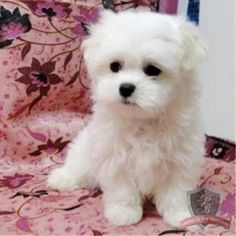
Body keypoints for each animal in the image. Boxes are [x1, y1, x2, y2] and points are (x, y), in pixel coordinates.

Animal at [47, 10, 206, 228]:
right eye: (115, 66)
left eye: (152, 70)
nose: (126, 88)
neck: (144, 120)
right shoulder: (114, 155)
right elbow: (121, 188)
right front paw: (123, 212)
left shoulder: (181, 157)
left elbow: (177, 190)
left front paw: (181, 215)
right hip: (85, 149)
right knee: (78, 165)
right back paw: (62, 178)